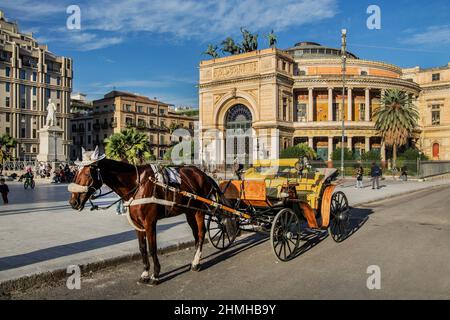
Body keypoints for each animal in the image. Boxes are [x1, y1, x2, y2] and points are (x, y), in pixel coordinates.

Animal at [68, 158, 223, 284]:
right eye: (75, 174)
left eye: (87, 174)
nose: (73, 202)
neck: (137, 184)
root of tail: (204, 174)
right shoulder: (138, 225)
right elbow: (142, 248)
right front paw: (145, 274)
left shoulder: (150, 223)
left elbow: (152, 249)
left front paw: (156, 275)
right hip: (189, 212)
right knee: (196, 234)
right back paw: (195, 259)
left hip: (199, 211)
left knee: (201, 233)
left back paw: (196, 263)